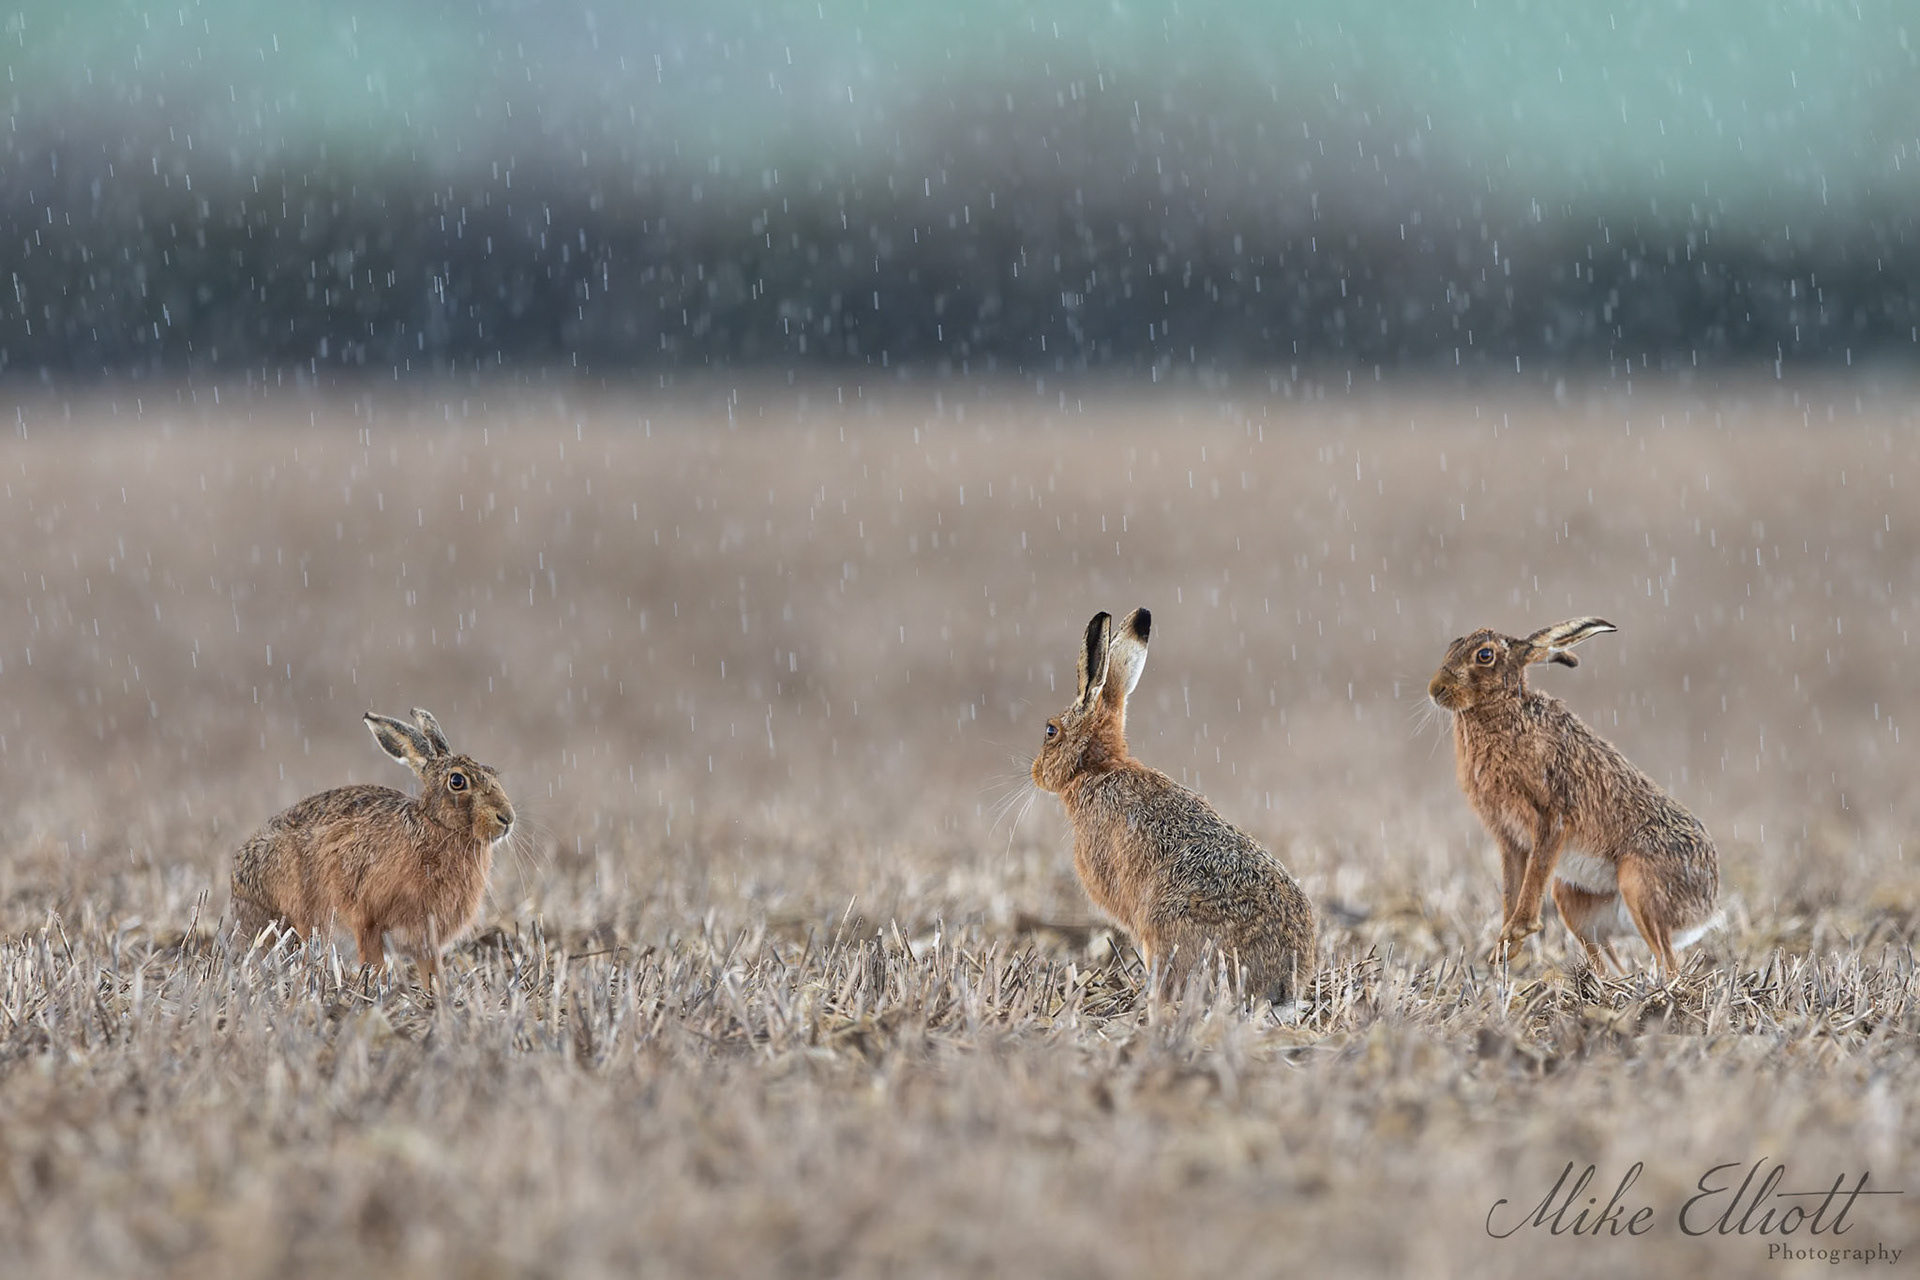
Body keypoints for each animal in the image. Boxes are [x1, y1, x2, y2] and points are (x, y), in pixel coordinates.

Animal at [229, 707, 515, 984]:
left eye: (492, 772)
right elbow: (375, 966)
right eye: (457, 781)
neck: (436, 827)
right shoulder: (369, 923)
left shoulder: (426, 940)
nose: (507, 818)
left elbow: (432, 974)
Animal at [1427, 618, 1721, 976]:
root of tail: (1706, 909)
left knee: (1667, 960)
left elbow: (1535, 872)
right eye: (1453, 644)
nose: (1435, 690)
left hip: (1639, 883)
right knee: (1609, 960)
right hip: (1572, 898)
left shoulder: (1552, 815)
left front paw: (1517, 932)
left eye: (1485, 655)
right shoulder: (1509, 836)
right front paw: (1504, 950)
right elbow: (1511, 887)